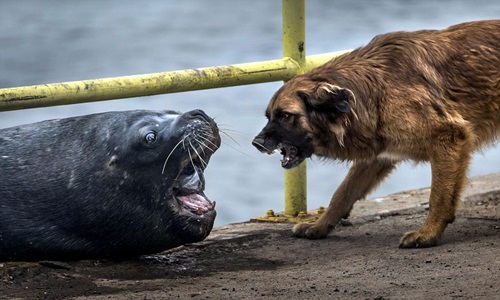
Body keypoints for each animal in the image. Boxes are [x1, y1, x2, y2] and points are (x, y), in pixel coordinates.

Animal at [254, 19, 500, 247]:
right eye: (268, 116)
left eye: (285, 116)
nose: (256, 143)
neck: (377, 90)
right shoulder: (377, 154)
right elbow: (342, 194)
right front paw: (319, 226)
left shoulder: (449, 137)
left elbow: (438, 197)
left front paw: (428, 234)